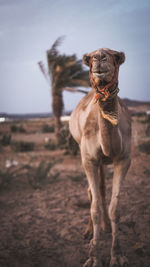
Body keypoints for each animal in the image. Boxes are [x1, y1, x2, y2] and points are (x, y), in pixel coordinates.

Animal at [69, 48, 131, 267]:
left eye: (116, 57)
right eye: (89, 60)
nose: (99, 58)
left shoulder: (124, 158)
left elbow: (116, 209)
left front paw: (117, 255)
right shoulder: (88, 159)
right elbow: (94, 208)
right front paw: (94, 257)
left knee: (102, 189)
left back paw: (105, 227)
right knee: (92, 192)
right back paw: (89, 231)